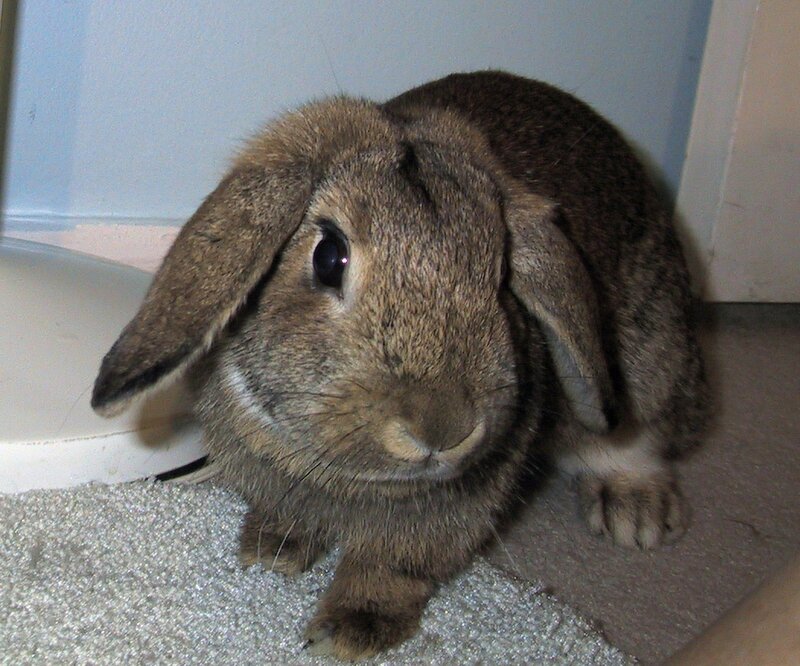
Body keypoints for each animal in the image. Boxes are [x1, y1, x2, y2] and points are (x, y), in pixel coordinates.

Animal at [92, 70, 709, 660]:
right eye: (329, 256)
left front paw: (348, 631)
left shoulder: (443, 517)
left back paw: (634, 514)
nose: (444, 430)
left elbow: (394, 568)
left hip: (647, 356)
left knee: (637, 436)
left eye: (502, 274)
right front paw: (271, 552)